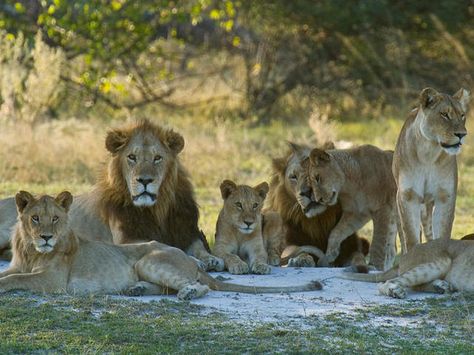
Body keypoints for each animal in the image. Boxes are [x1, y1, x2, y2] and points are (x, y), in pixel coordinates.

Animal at [0, 192, 322, 298]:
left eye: (55, 219)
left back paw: (188, 293)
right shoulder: (19, 265)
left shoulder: (53, 280)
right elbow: (8, 274)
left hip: (148, 259)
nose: (46, 237)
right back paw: (135, 290)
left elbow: (16, 280)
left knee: (198, 286)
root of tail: (191, 260)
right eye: (35, 218)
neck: (30, 251)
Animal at [264, 143, 368, 272]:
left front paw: (361, 266)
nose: (307, 192)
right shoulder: (286, 244)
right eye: (293, 176)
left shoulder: (349, 247)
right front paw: (301, 259)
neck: (318, 221)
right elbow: (295, 249)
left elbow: (358, 256)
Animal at [394, 87, 468, 252]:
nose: (462, 135)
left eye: (462, 115)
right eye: (444, 114)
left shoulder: (445, 196)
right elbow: (411, 237)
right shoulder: (408, 196)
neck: (429, 153)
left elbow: (442, 232)